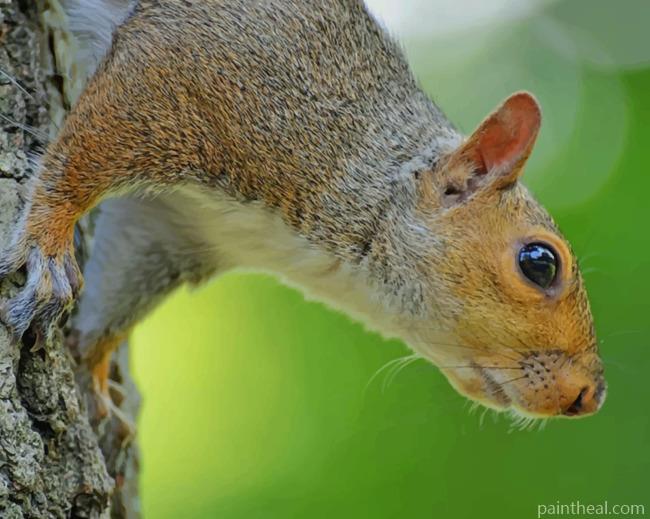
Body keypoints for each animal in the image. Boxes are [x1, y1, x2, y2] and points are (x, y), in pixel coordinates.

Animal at [0, 0, 605, 421]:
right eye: (539, 263)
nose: (590, 396)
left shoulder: (175, 229)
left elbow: (119, 290)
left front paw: (96, 368)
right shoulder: (190, 68)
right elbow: (76, 161)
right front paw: (48, 249)